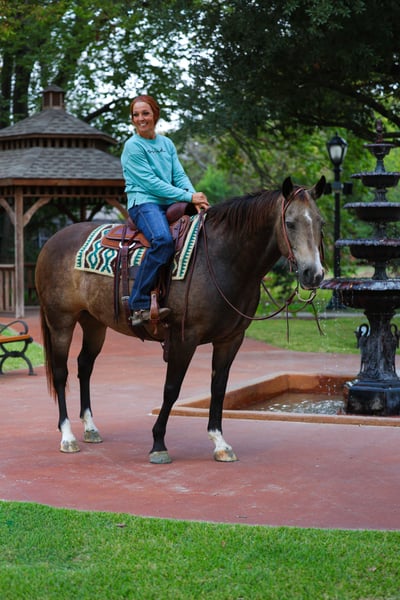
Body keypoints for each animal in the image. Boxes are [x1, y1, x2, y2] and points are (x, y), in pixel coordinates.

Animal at [35, 176, 326, 463]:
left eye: (320, 222)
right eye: (289, 223)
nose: (314, 274)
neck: (222, 258)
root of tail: (51, 242)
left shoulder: (231, 339)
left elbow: (219, 387)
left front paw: (220, 442)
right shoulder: (183, 338)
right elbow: (171, 389)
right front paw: (158, 444)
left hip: (94, 323)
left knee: (85, 366)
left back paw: (90, 428)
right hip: (61, 322)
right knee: (61, 372)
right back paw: (67, 436)